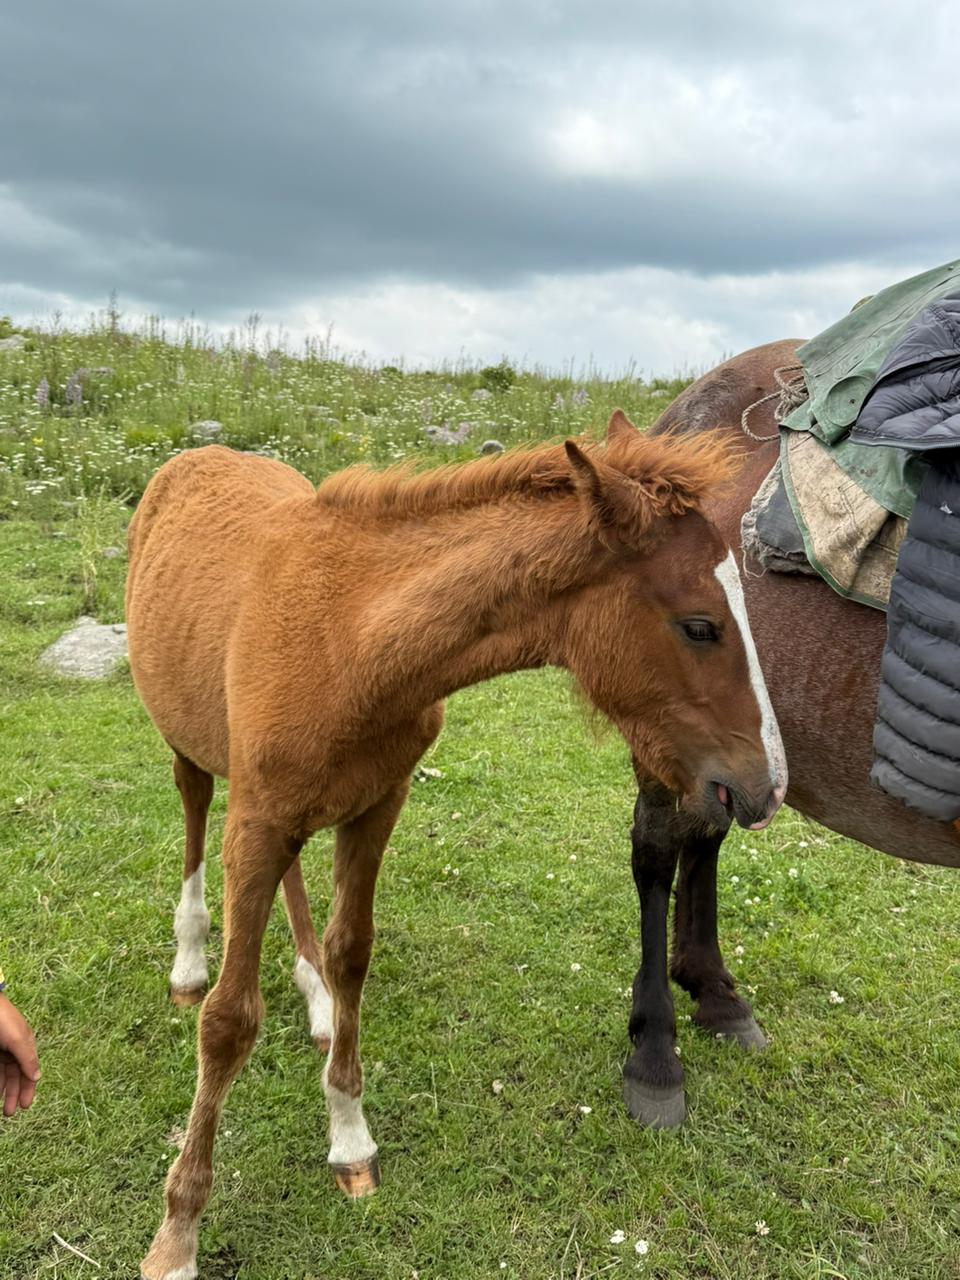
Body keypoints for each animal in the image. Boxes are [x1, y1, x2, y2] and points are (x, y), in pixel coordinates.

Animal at [127, 411, 786, 1280]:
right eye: (701, 626)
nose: (766, 786)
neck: (349, 641)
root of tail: (194, 456)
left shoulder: (376, 806)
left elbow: (351, 953)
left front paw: (349, 1136)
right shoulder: (260, 818)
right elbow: (229, 1022)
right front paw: (177, 1232)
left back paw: (312, 997)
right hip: (192, 750)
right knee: (196, 812)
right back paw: (190, 960)